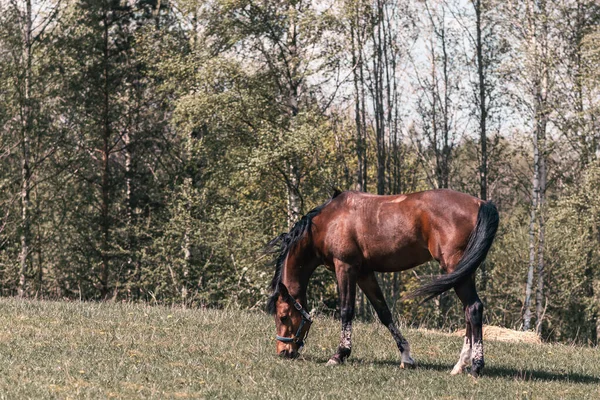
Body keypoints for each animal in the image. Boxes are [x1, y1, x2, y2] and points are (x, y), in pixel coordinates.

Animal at [266, 189, 496, 376]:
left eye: (283, 316)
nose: (283, 352)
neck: (328, 222)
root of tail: (481, 203)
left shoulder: (345, 268)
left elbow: (346, 310)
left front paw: (339, 354)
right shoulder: (365, 274)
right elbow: (384, 312)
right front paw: (406, 356)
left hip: (455, 268)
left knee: (474, 308)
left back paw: (476, 366)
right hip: (463, 272)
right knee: (468, 312)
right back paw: (460, 365)